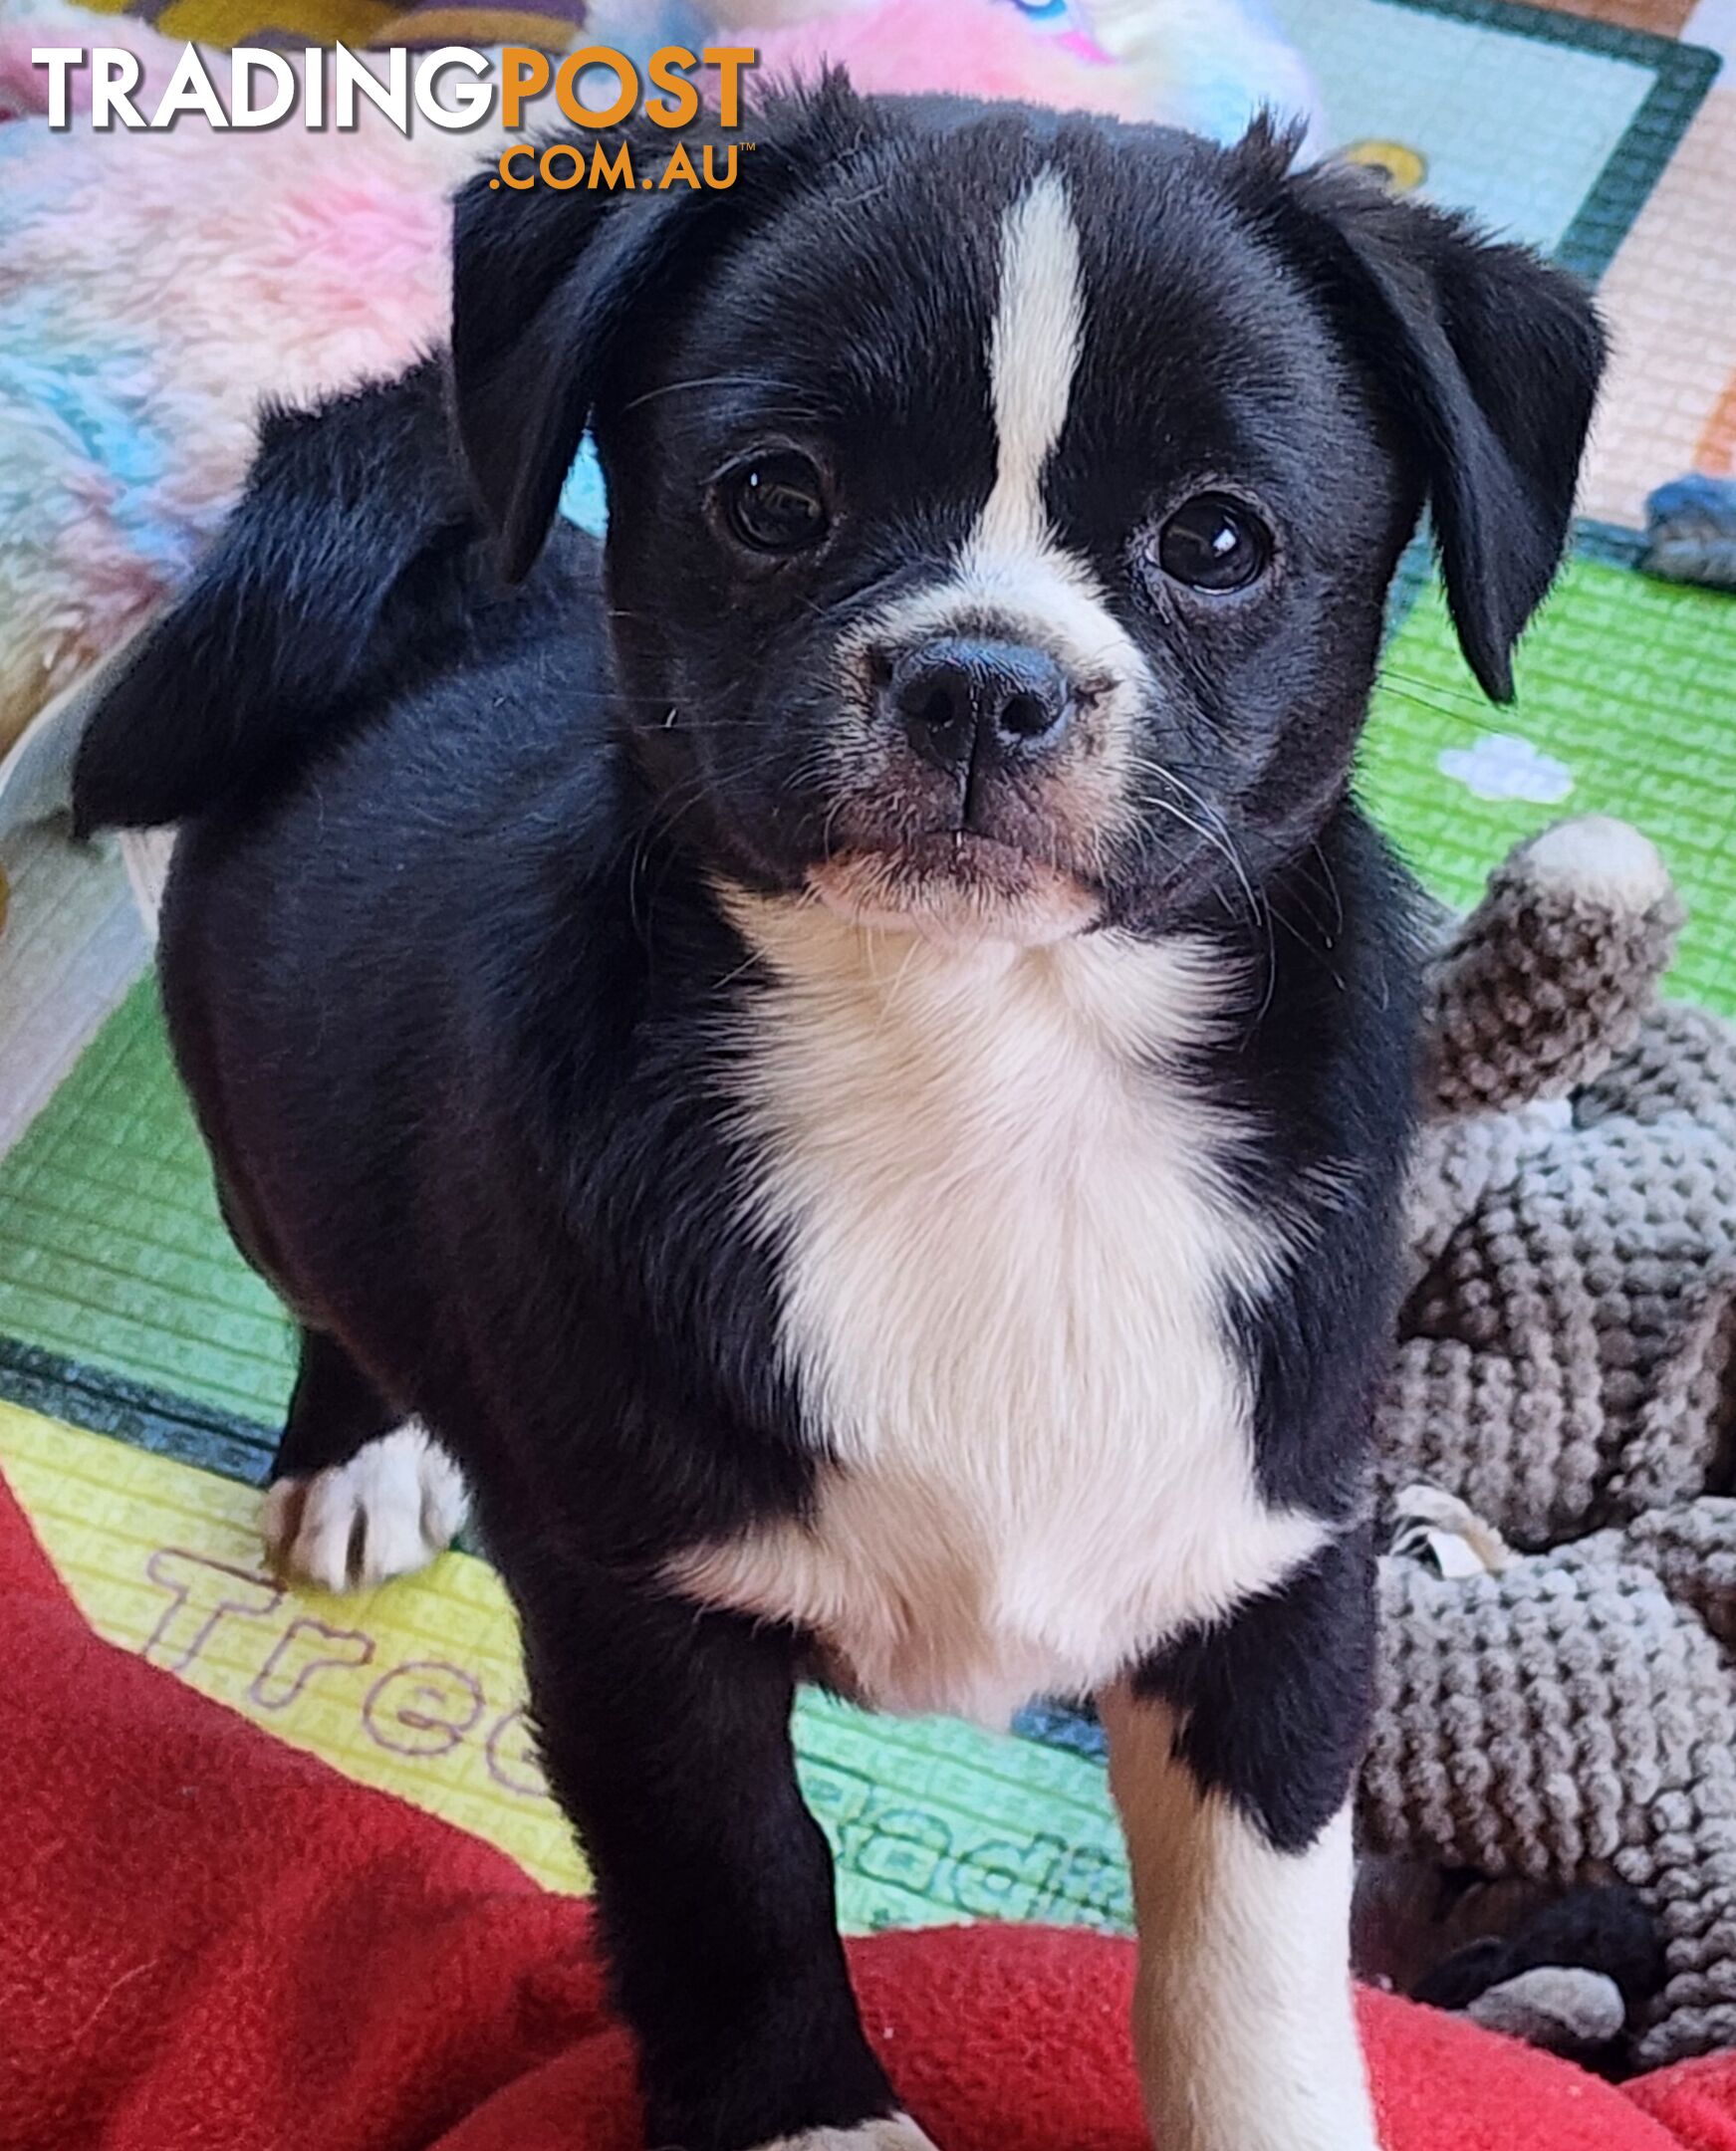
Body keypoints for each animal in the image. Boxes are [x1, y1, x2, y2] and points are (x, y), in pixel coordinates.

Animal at [78, 79, 1600, 2151]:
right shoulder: (636, 1618)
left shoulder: (1275, 1569)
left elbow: (1248, 1970)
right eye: (773, 499)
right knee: (337, 1292)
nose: (981, 678)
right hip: (264, 1150)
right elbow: (737, 1886)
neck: (980, 1068)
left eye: (1216, 538)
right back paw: (361, 1457)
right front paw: (812, 2116)